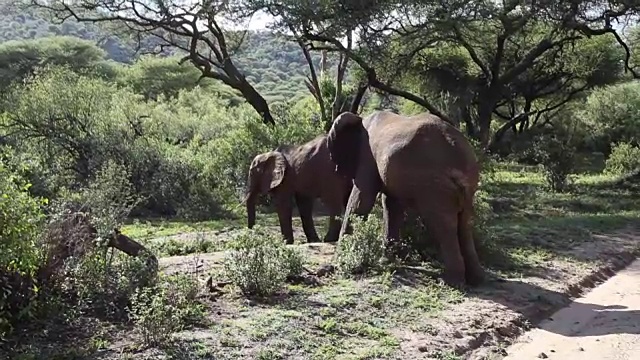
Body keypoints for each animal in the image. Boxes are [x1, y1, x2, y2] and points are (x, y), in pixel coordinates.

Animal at [328, 109, 482, 286]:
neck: (360, 119)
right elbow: (391, 205)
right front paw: (387, 261)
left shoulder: (367, 156)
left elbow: (360, 200)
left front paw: (341, 260)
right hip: (463, 187)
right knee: (464, 224)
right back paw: (476, 280)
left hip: (434, 184)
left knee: (443, 225)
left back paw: (451, 281)